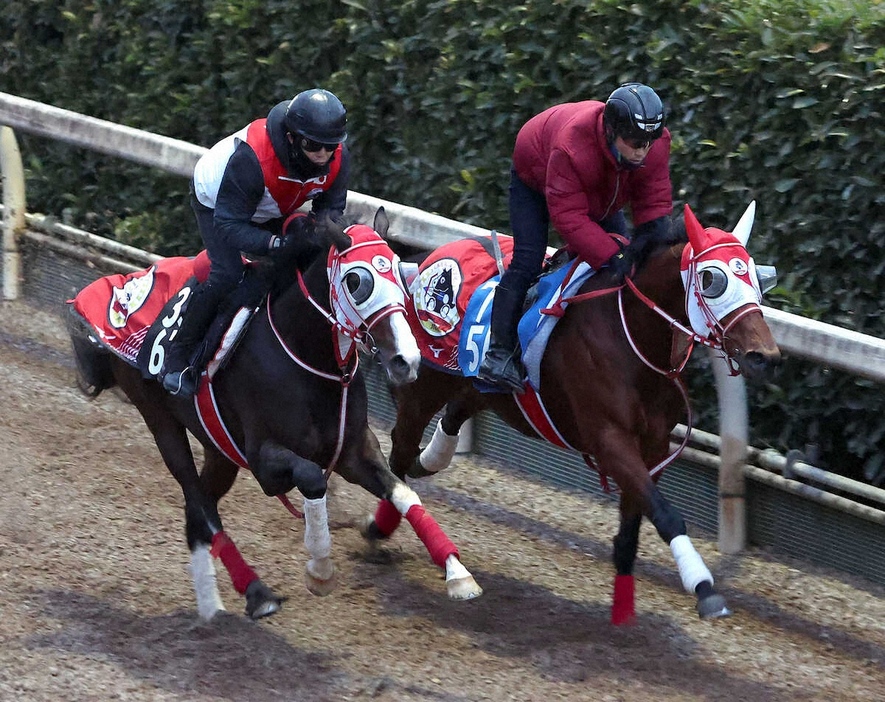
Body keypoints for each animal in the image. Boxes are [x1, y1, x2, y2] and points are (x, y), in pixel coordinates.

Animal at [67, 209, 484, 620]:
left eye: (401, 274)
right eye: (356, 281)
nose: (406, 361)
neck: (307, 359)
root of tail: (123, 283)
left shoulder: (354, 451)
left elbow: (404, 493)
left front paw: (457, 573)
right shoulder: (264, 461)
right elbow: (312, 478)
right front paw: (320, 569)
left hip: (220, 449)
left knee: (197, 511)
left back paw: (212, 604)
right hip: (160, 419)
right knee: (198, 500)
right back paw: (257, 592)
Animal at [372, 201, 780, 624]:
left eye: (755, 277)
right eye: (712, 279)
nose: (764, 357)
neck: (630, 336)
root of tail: (424, 263)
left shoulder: (653, 443)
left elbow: (635, 519)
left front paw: (623, 604)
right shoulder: (609, 439)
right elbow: (665, 513)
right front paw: (704, 587)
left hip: (477, 385)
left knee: (454, 414)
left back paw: (430, 462)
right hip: (422, 383)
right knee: (400, 449)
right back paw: (382, 526)